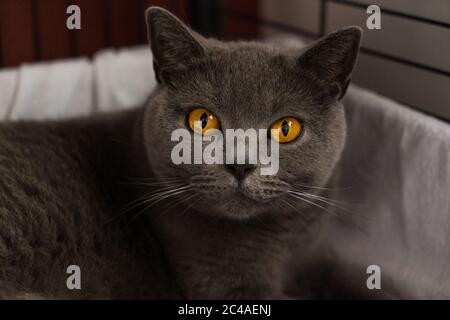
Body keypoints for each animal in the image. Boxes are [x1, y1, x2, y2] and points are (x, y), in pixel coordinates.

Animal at [0, 7, 362, 300]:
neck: (283, 245)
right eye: (202, 120)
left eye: (286, 128)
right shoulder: (224, 285)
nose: (240, 164)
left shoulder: (318, 257)